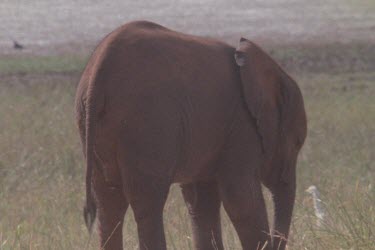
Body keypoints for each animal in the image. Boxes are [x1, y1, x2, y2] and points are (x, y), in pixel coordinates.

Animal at [74, 20, 308, 250]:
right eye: (297, 143)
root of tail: (99, 68)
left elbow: (201, 202)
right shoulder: (241, 125)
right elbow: (241, 199)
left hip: (95, 124)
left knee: (108, 201)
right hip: (148, 123)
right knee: (147, 201)